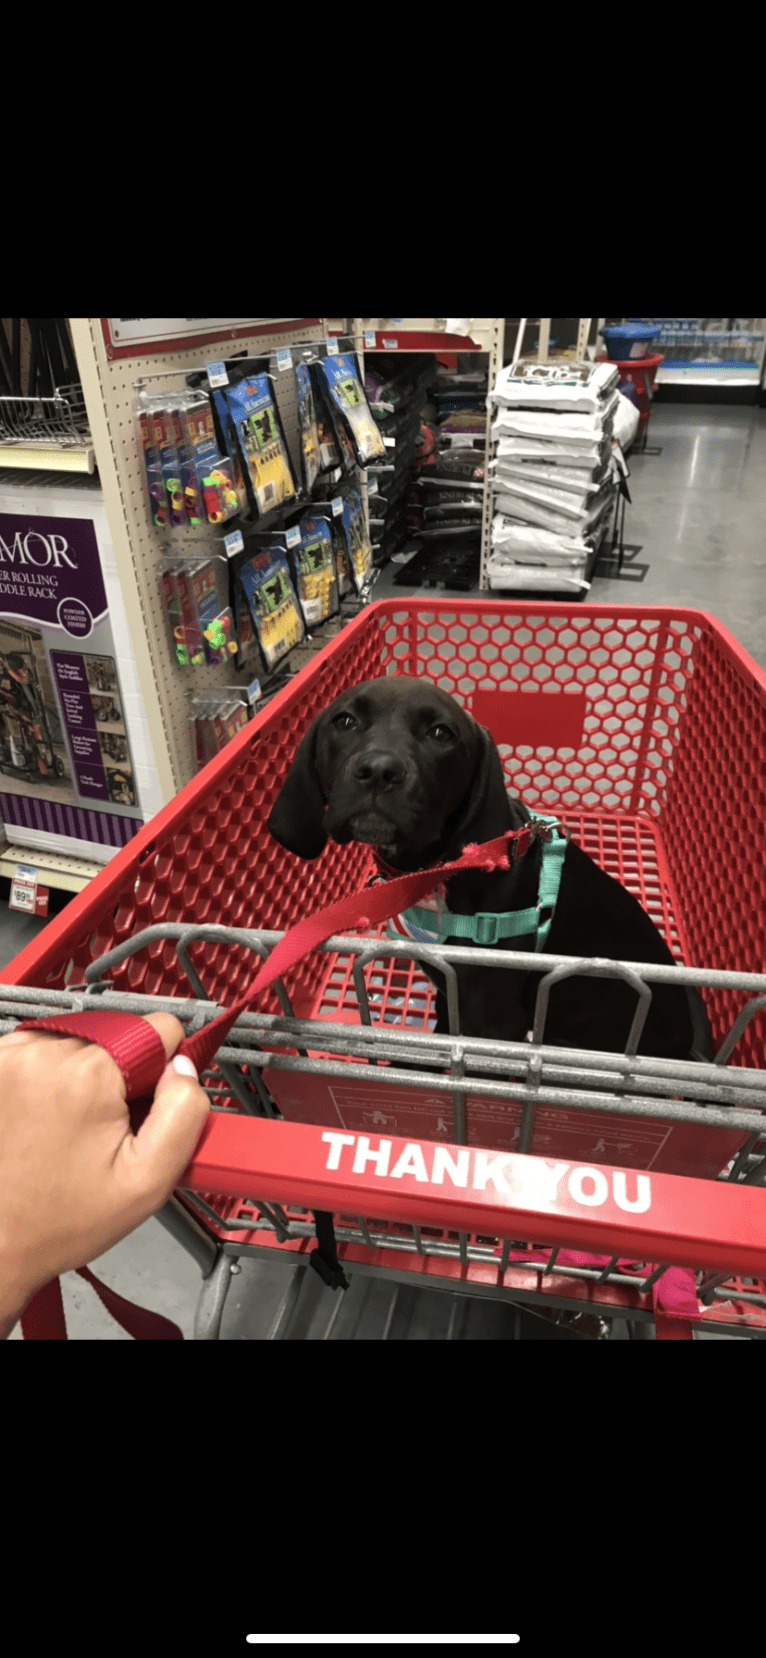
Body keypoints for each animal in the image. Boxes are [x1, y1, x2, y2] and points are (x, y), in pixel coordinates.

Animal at [268, 673, 712, 1061]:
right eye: (344, 721)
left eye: (441, 734)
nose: (379, 770)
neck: (433, 872)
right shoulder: (450, 991)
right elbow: (444, 1030)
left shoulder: (495, 1023)